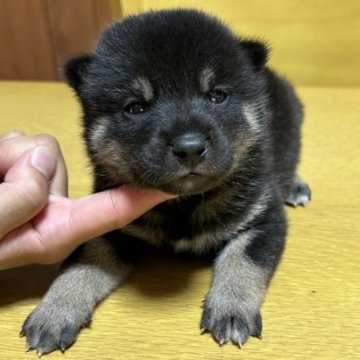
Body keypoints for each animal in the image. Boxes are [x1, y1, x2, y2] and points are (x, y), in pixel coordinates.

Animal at [21, 7, 310, 354]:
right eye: (135, 107)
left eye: (217, 96)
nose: (190, 148)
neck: (185, 205)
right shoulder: (114, 230)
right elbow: (82, 264)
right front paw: (55, 310)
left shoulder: (262, 217)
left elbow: (242, 262)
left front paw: (231, 308)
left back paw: (294, 185)